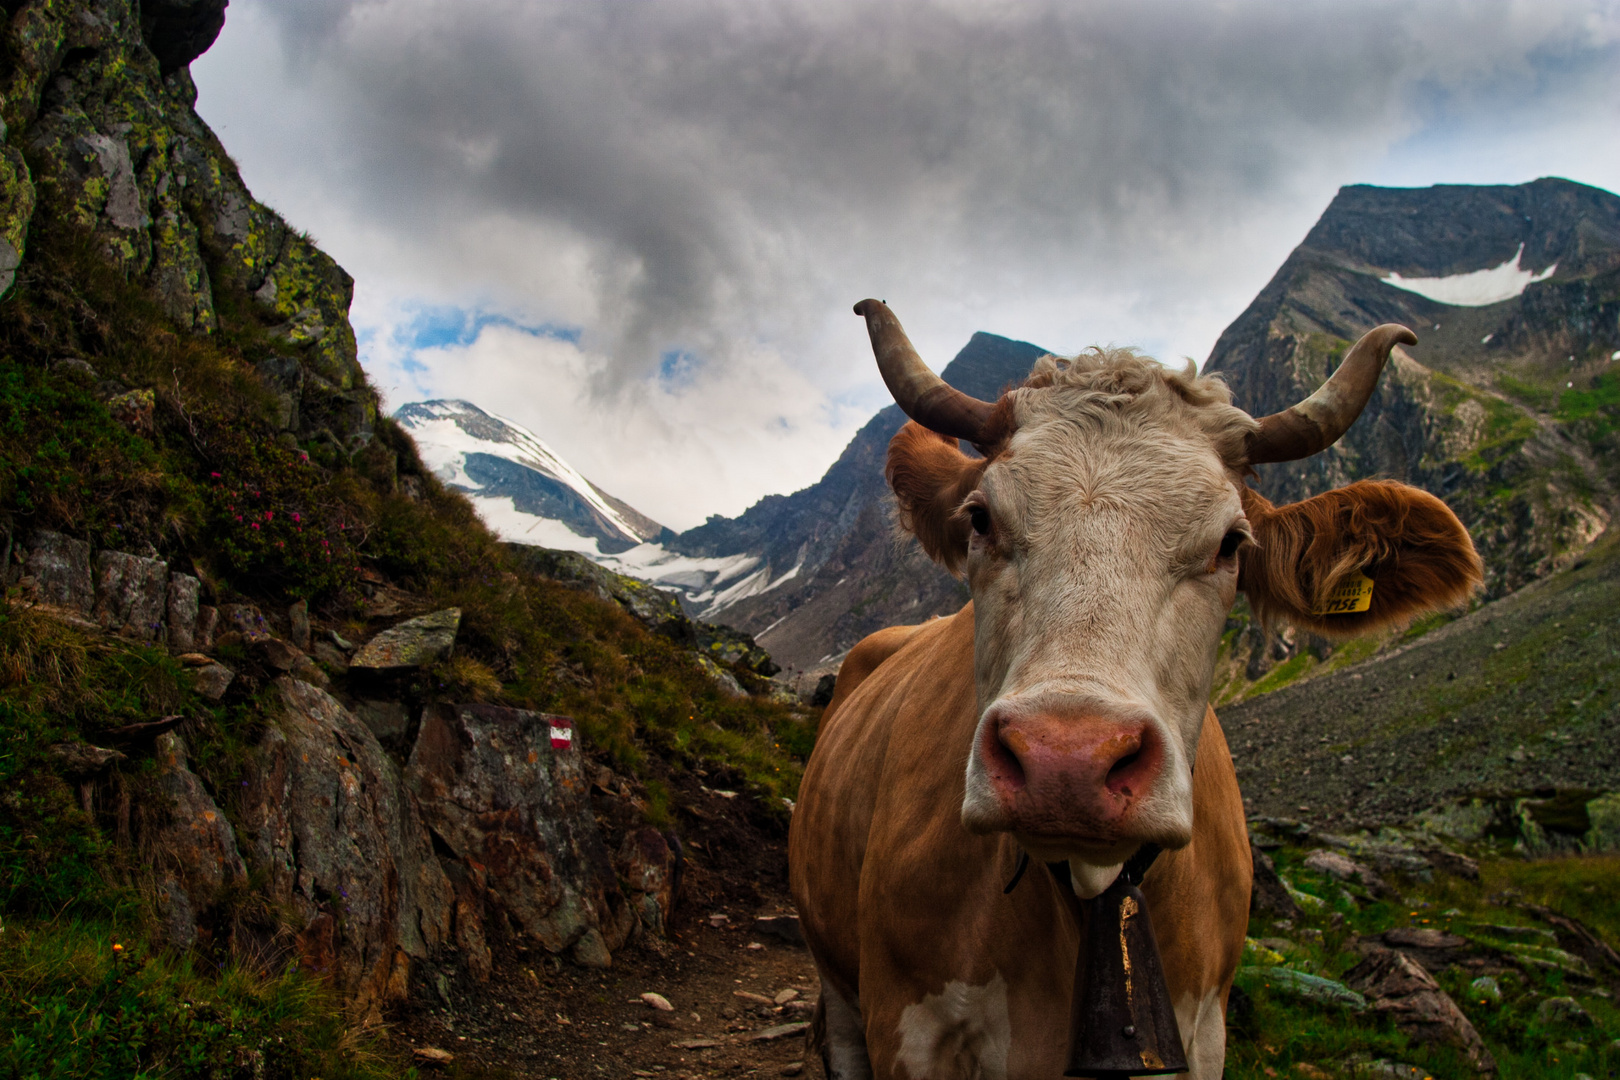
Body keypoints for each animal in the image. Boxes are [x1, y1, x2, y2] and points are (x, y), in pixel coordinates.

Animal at [790, 299, 1483, 1080]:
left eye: (1232, 544)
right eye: (980, 518)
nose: (1066, 761)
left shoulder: (1204, 1030)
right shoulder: (908, 1025)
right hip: (837, 981)